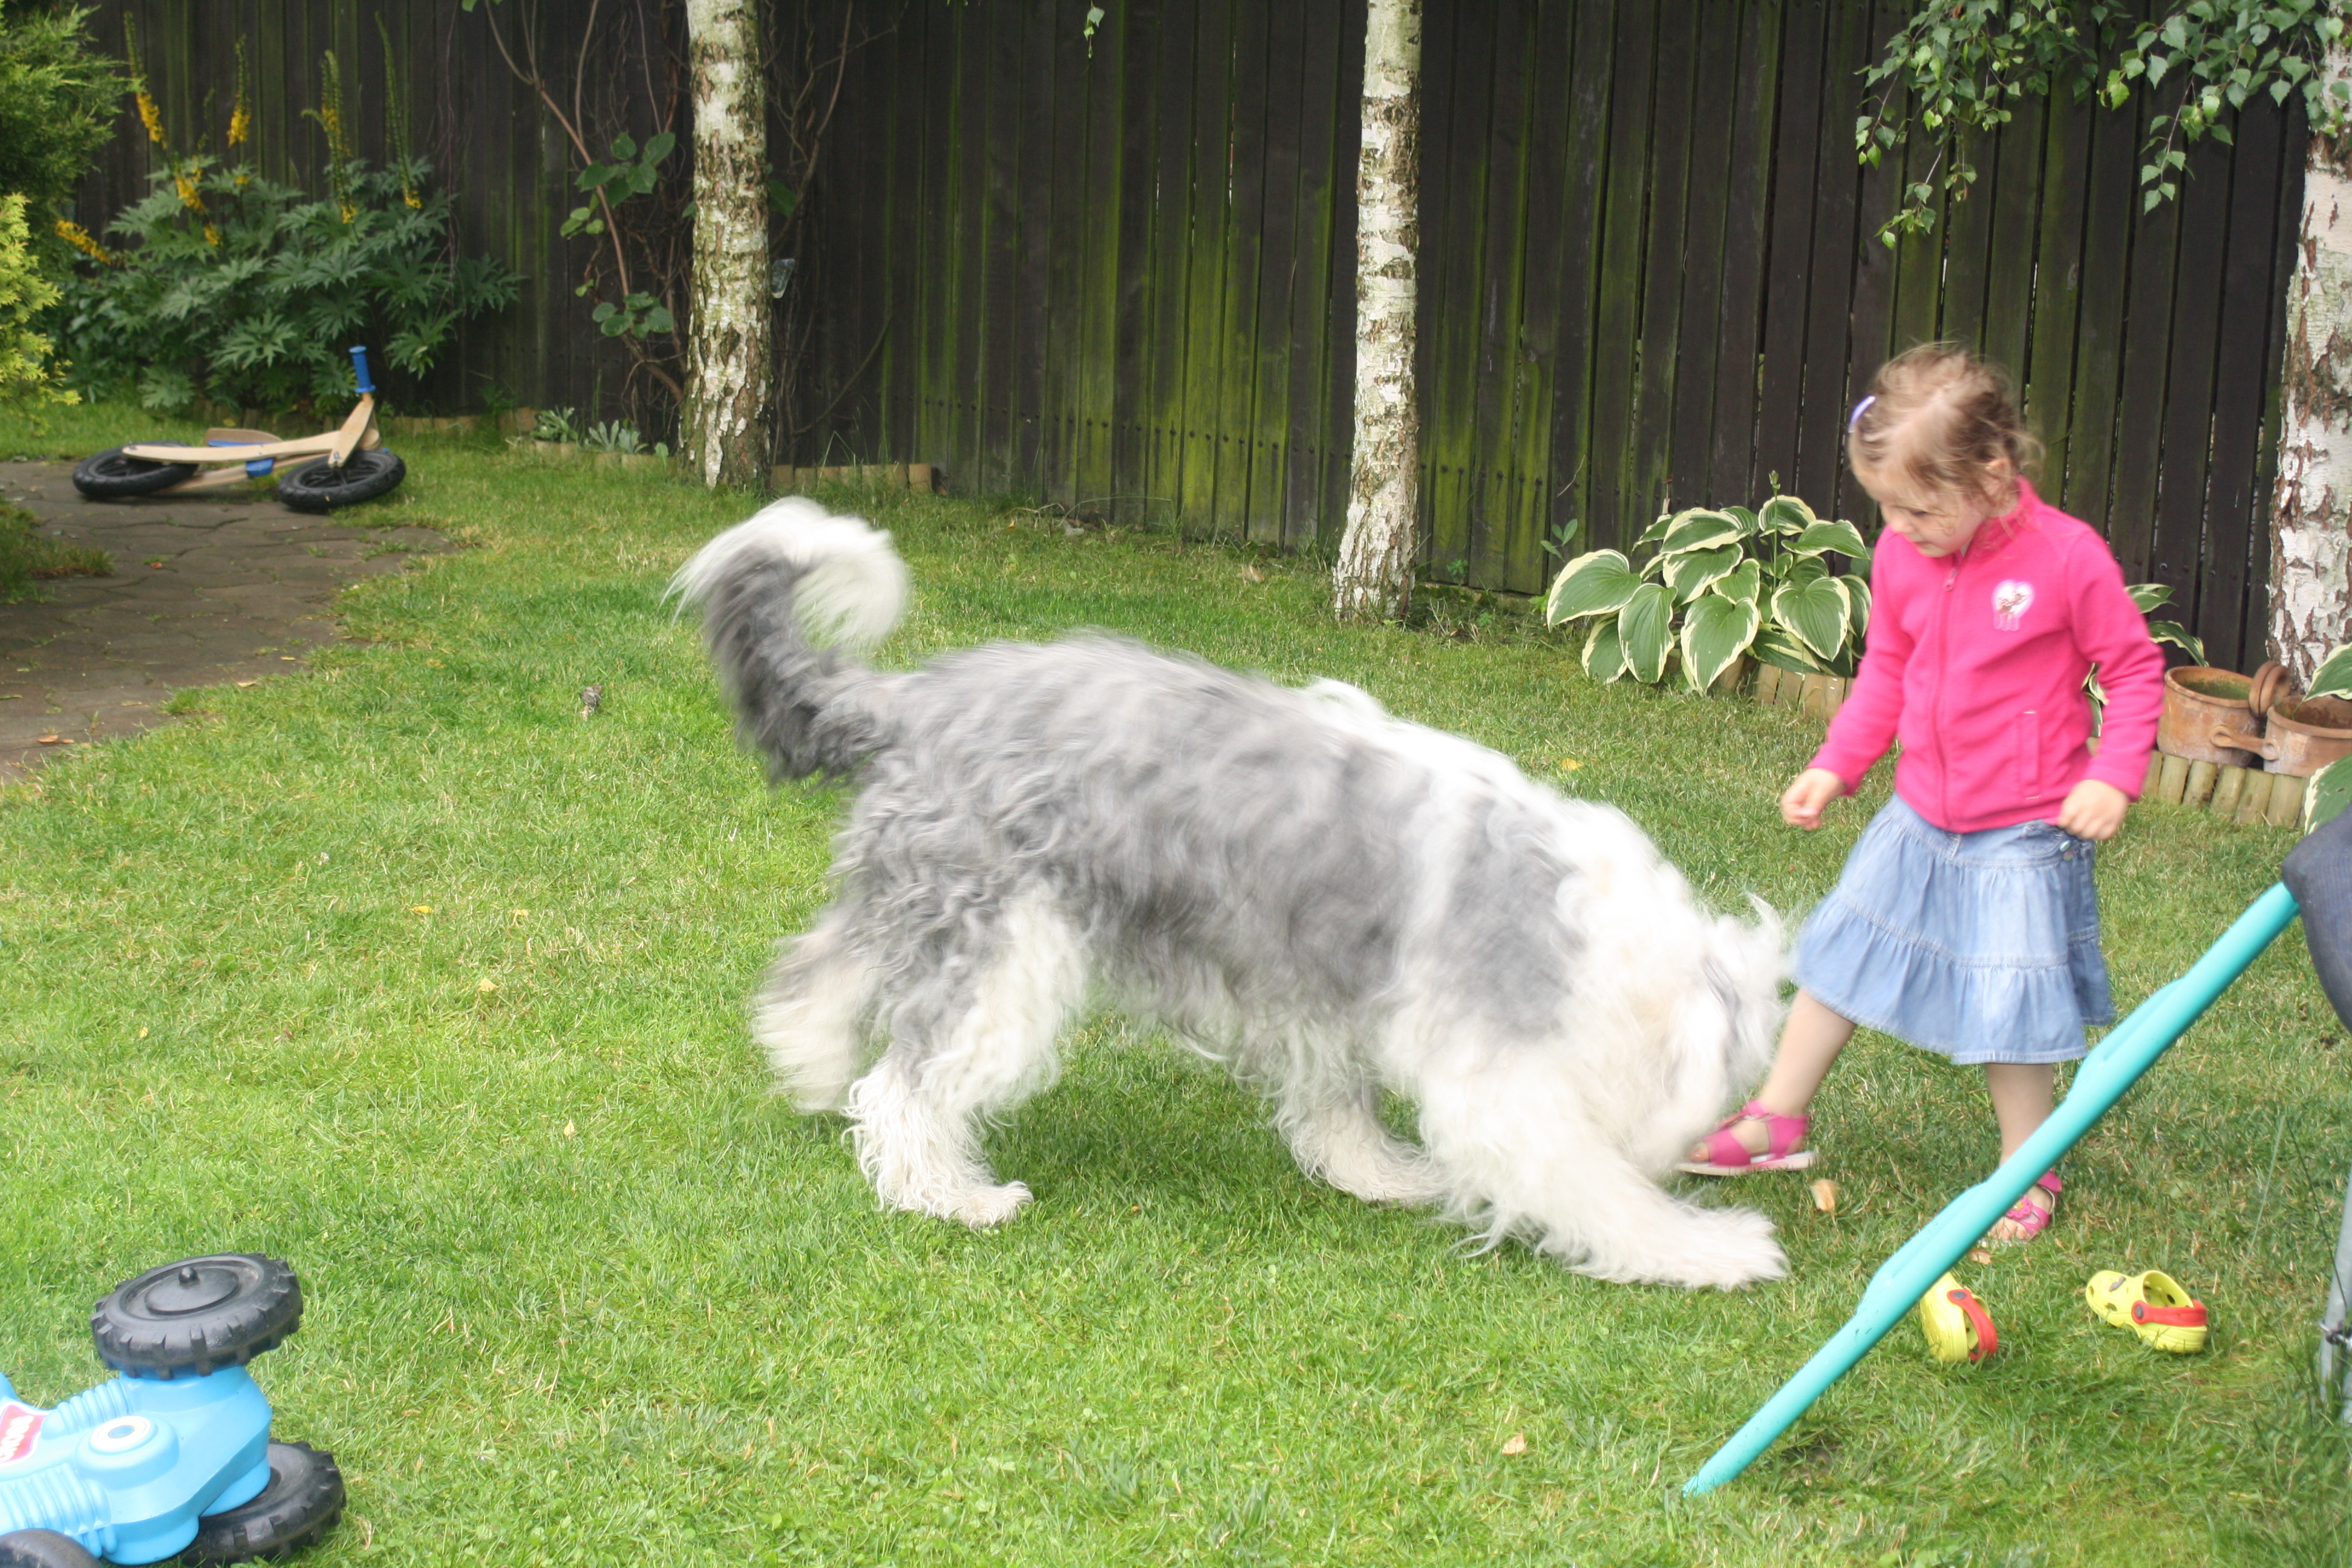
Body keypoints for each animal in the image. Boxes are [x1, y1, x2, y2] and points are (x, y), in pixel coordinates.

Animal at [671, 498, 1790, 1289]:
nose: (1693, 1153)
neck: (1589, 933)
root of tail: (912, 696)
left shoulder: (1332, 992)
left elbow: (1337, 1103)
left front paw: (1380, 1175)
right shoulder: (1500, 1082)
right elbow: (1591, 1187)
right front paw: (1716, 1248)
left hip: (922, 897)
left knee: (816, 973)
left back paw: (811, 1071)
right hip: (1001, 951)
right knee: (907, 1085)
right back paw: (948, 1196)